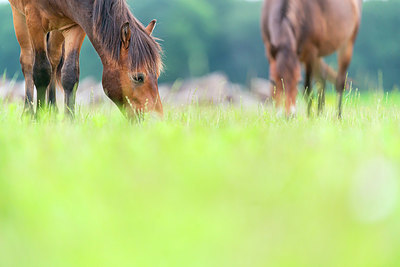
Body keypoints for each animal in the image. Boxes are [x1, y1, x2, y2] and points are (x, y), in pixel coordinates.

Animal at [7, 0, 162, 118]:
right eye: (138, 77)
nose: (155, 119)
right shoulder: (34, 20)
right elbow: (41, 73)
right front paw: (39, 118)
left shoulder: (74, 26)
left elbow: (70, 76)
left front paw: (69, 121)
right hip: (19, 16)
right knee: (28, 62)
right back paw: (28, 113)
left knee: (53, 60)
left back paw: (52, 111)